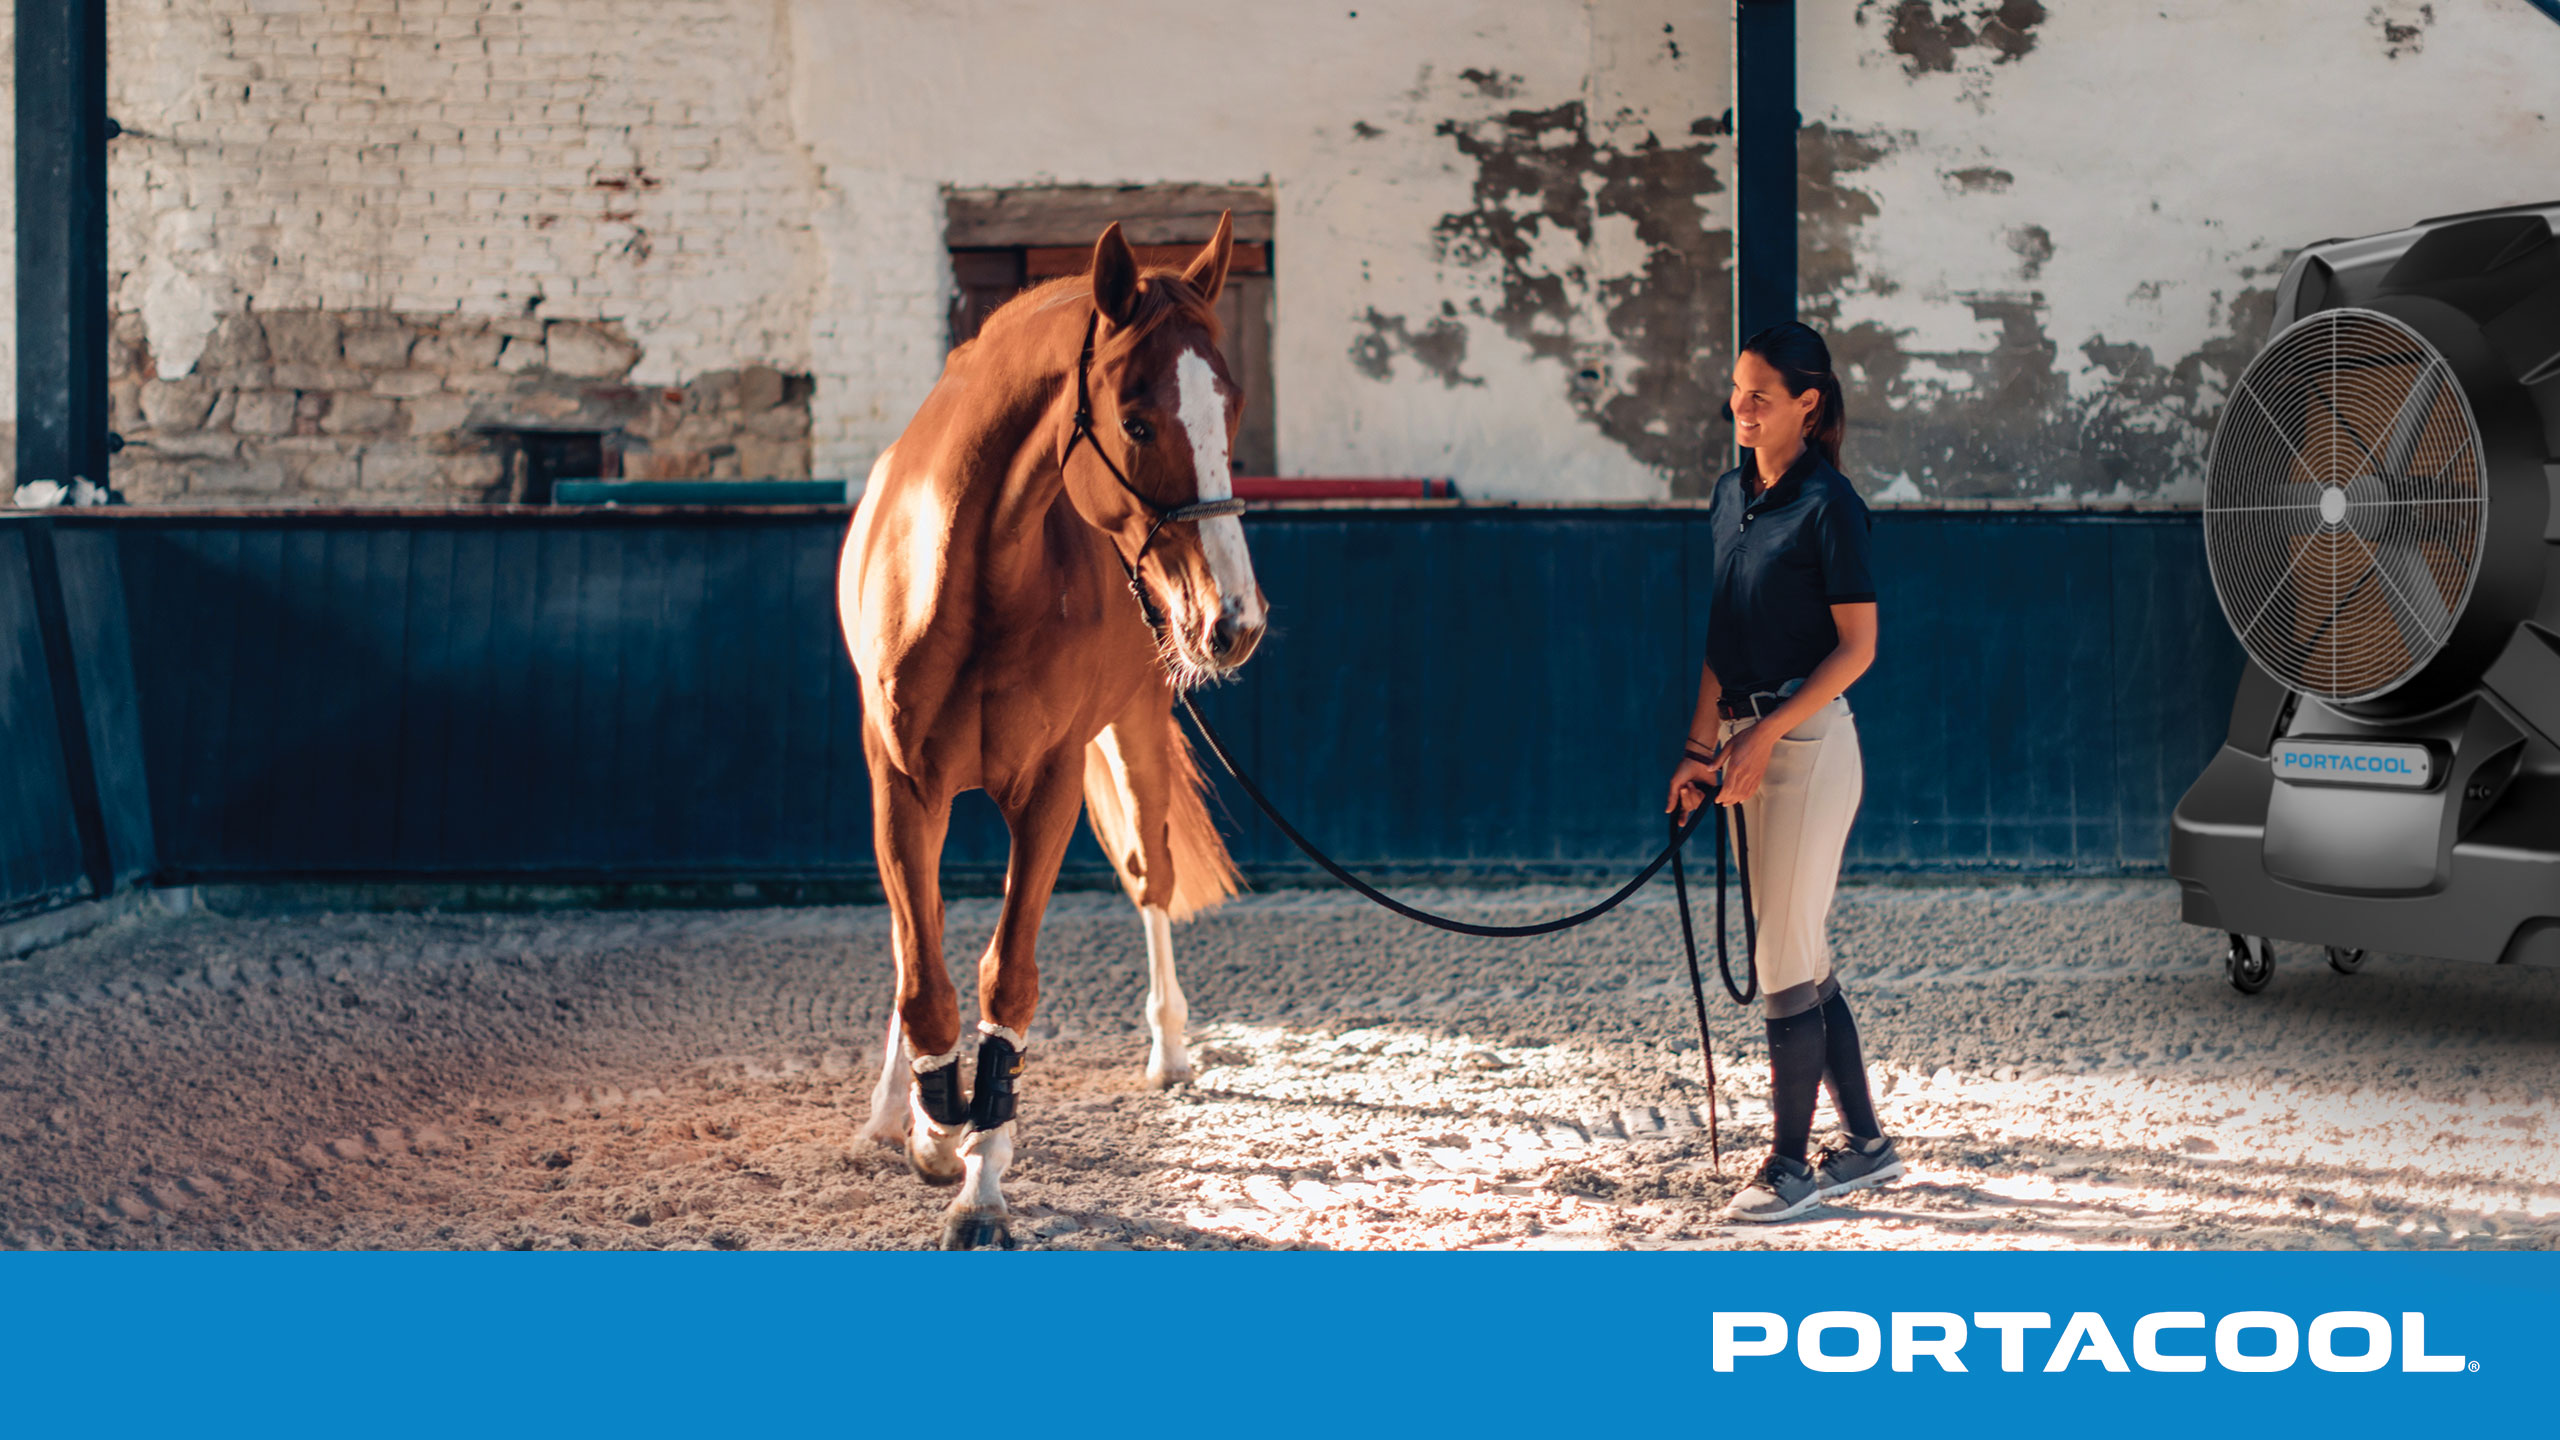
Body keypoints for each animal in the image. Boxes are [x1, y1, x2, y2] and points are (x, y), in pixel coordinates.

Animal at [836, 215, 1269, 1249]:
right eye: (1138, 422)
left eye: (1230, 410)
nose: (1235, 621)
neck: (971, 572)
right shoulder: (900, 787)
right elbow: (925, 975)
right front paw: (929, 1125)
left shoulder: (1049, 788)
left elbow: (1008, 980)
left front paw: (980, 1181)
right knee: (916, 944)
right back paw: (896, 1109)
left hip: (1137, 734)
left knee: (1151, 875)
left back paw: (1169, 1050)